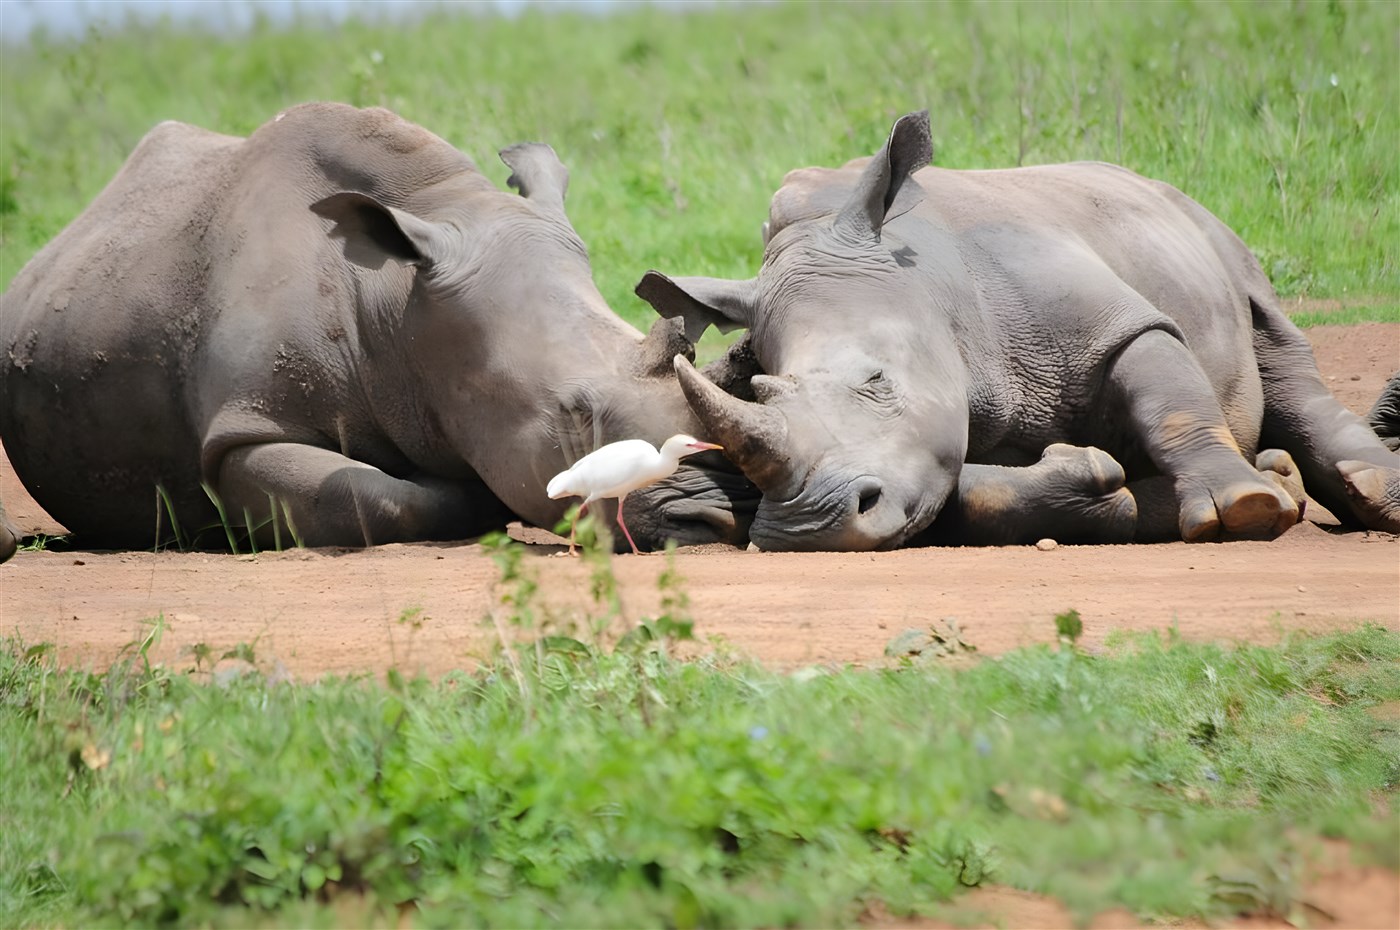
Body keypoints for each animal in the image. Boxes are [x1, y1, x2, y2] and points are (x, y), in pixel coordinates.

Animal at [0, 103, 753, 552]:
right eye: (574, 414)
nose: (717, 518)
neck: (397, 308)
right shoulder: (245, 428)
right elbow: (374, 495)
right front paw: (470, 497)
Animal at [637, 111, 1400, 551]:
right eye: (759, 389)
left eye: (878, 382)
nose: (808, 526)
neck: (931, 284)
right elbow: (969, 492)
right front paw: (1113, 485)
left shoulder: (1108, 319)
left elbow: (1167, 388)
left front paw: (1245, 507)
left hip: (1210, 231)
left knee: (1278, 353)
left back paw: (1366, 498)